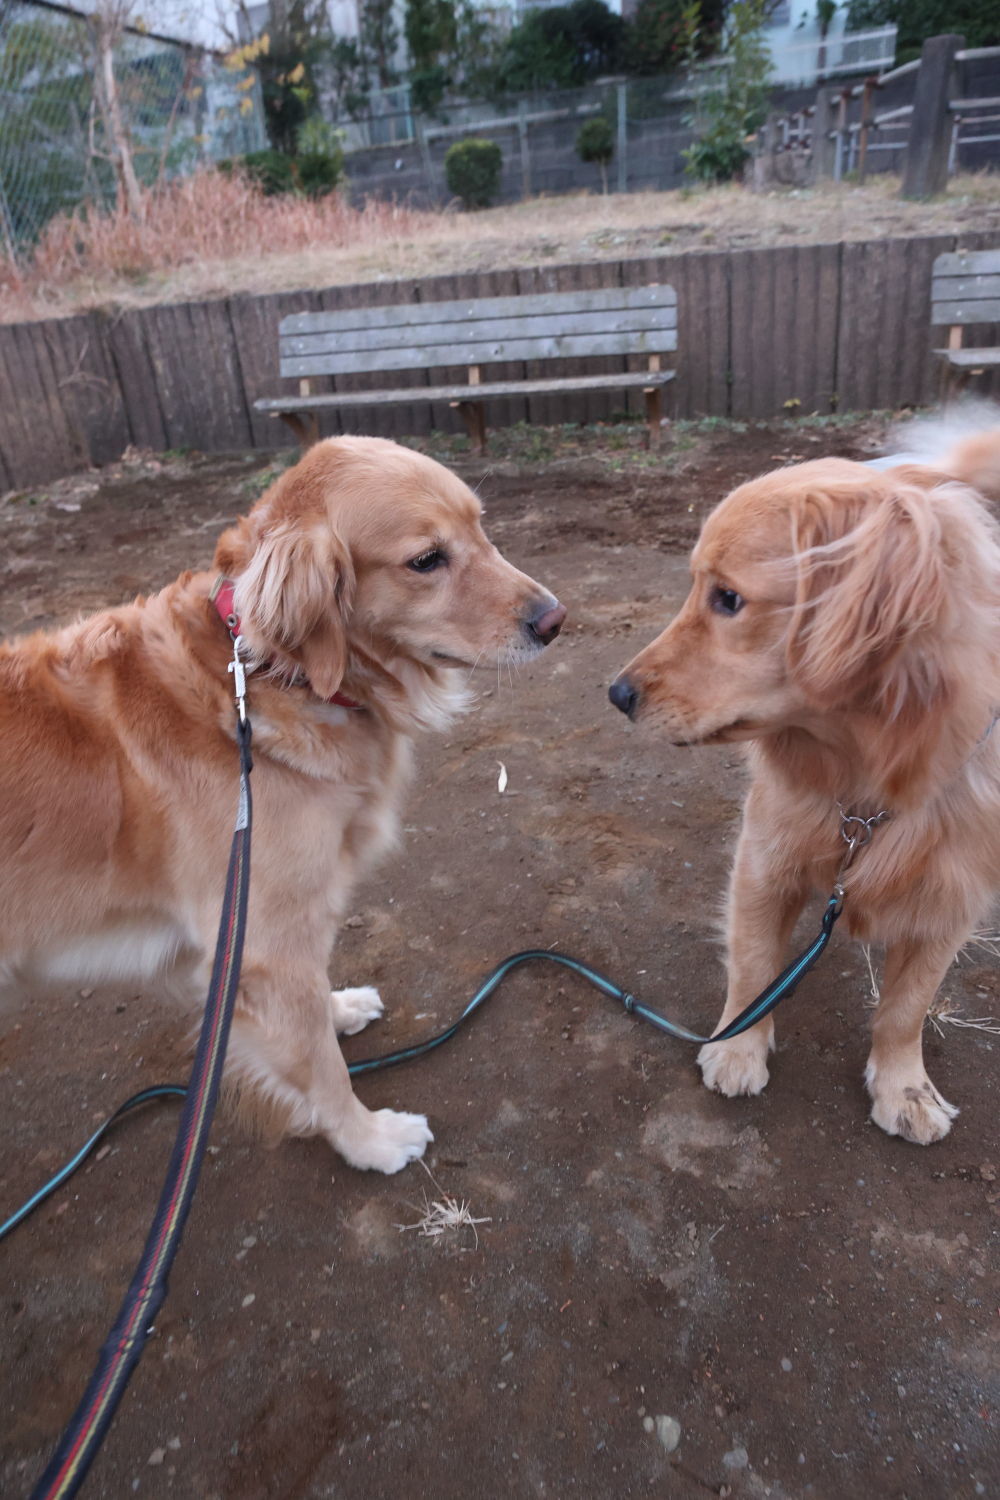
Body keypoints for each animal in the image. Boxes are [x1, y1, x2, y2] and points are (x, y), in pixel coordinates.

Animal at [0, 438, 563, 1176]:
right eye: (426, 560)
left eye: (481, 527)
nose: (556, 619)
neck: (264, 675)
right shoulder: (262, 941)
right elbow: (320, 1066)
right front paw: (368, 1139)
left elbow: (311, 1014)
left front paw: (338, 1008)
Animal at [605, 417, 1000, 1140]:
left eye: (729, 598)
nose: (617, 695)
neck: (870, 782)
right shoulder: (766, 858)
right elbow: (756, 966)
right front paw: (737, 1047)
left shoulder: (952, 899)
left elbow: (907, 1008)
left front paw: (905, 1087)